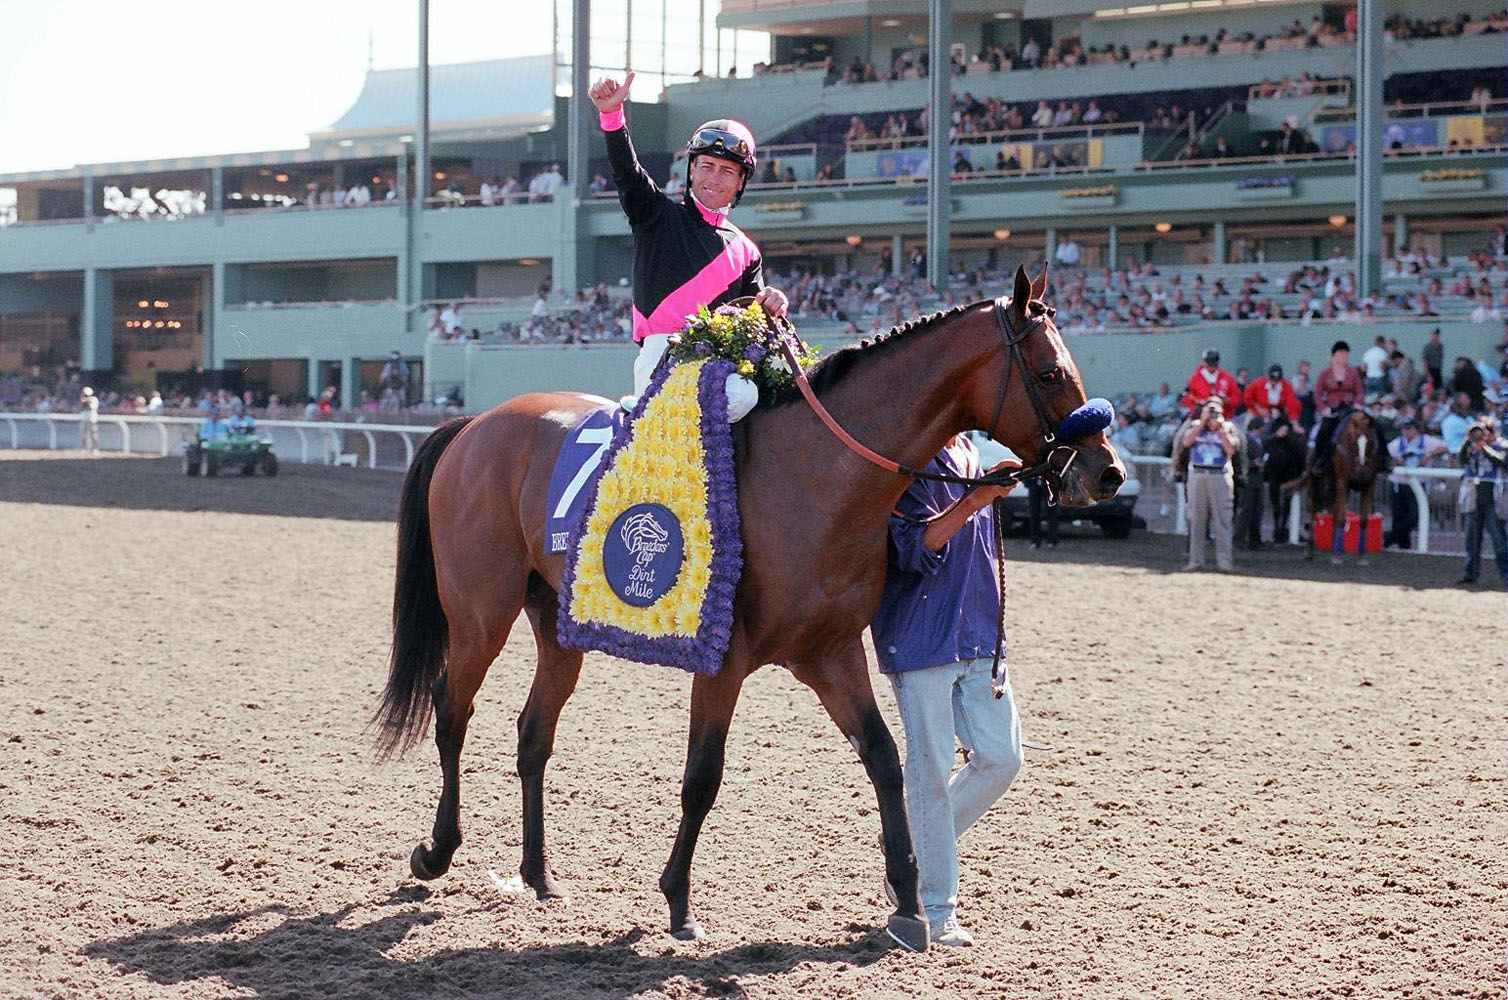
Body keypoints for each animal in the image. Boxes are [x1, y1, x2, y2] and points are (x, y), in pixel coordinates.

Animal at [373, 268, 1134, 953]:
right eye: (1049, 374)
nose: (1108, 472)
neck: (816, 473)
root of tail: (475, 423)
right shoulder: (724, 659)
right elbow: (702, 777)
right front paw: (679, 903)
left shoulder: (831, 652)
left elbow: (885, 760)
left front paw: (910, 902)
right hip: (480, 611)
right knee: (451, 710)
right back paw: (436, 851)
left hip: (561, 625)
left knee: (533, 732)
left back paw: (539, 874)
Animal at [1302, 407, 1381, 564]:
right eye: (1353, 441)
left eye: (1370, 441)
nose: (1361, 473)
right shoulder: (1343, 483)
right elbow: (1341, 518)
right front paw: (1337, 557)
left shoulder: (1369, 485)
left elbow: (1363, 520)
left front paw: (1362, 556)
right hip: (1315, 482)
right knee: (1313, 510)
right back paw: (1310, 551)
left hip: (1332, 487)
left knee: (1333, 511)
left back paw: (1334, 547)